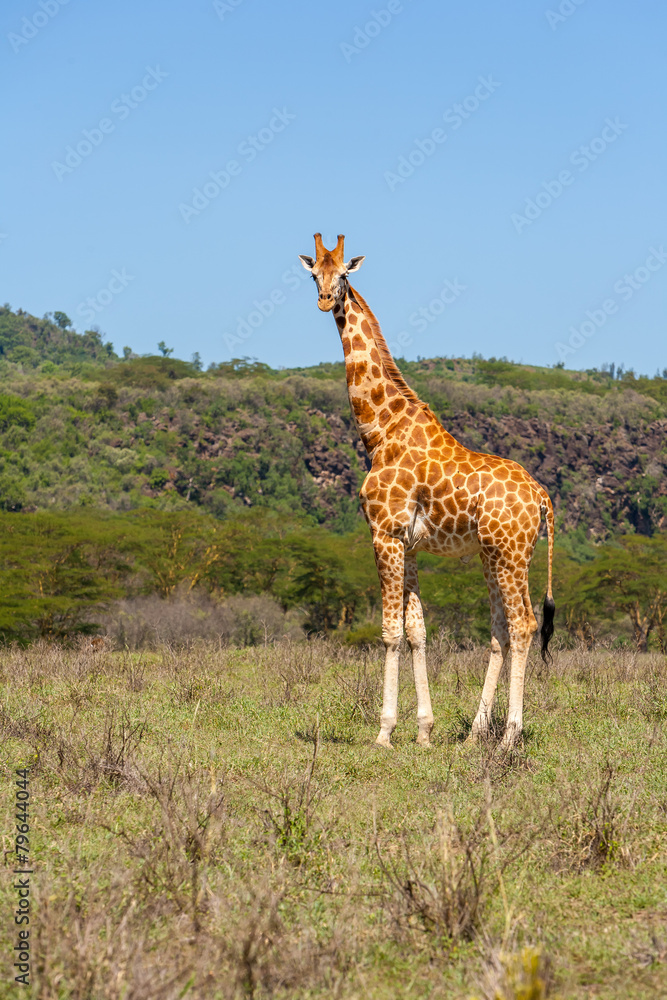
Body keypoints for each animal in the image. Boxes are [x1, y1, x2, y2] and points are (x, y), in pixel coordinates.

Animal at [299, 234, 555, 750]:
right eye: (314, 273)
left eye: (344, 274)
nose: (325, 300)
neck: (379, 431)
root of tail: (542, 498)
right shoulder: (410, 543)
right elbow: (417, 630)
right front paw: (424, 730)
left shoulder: (384, 533)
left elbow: (390, 631)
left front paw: (384, 732)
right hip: (493, 556)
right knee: (500, 630)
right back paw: (474, 734)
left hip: (511, 554)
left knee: (523, 624)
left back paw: (508, 737)